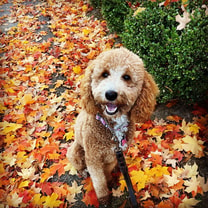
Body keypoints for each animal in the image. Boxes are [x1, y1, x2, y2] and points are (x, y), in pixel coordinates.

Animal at [67, 47, 158, 206]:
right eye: (104, 74)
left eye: (127, 77)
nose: (110, 94)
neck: (112, 129)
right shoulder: (93, 158)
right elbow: (99, 181)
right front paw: (104, 198)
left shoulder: (113, 155)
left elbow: (107, 172)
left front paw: (109, 180)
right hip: (76, 151)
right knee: (79, 165)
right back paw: (83, 172)